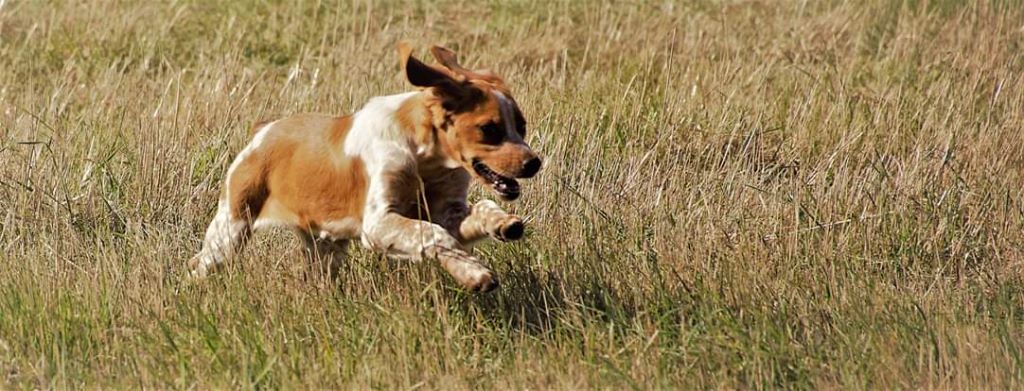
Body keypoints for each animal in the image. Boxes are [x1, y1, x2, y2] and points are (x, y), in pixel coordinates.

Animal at [192, 44, 544, 292]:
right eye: (490, 129)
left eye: (521, 126)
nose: (534, 163)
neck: (424, 160)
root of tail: (265, 129)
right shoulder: (378, 222)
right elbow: (435, 235)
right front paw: (475, 273)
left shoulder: (445, 209)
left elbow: (475, 211)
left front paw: (501, 224)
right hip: (231, 227)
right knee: (199, 264)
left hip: (324, 245)